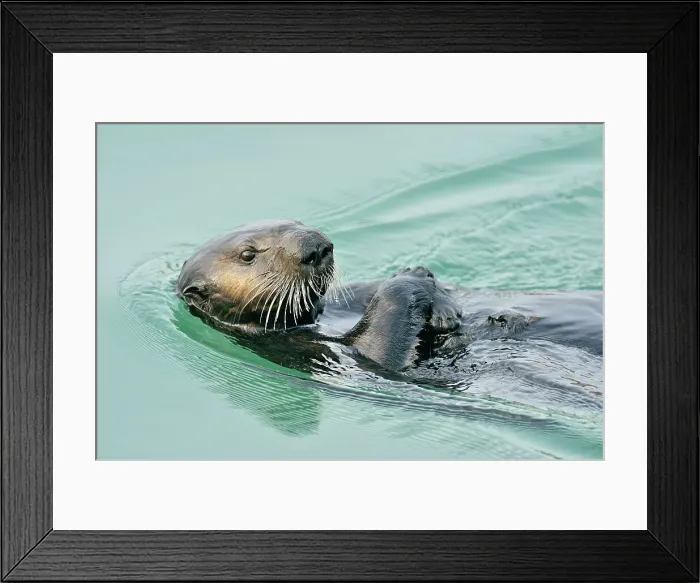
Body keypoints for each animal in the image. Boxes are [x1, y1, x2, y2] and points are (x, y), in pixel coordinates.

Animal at [175, 219, 602, 375]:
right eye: (249, 254)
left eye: (294, 222)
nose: (317, 246)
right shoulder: (314, 353)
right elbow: (383, 353)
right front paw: (413, 283)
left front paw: (433, 289)